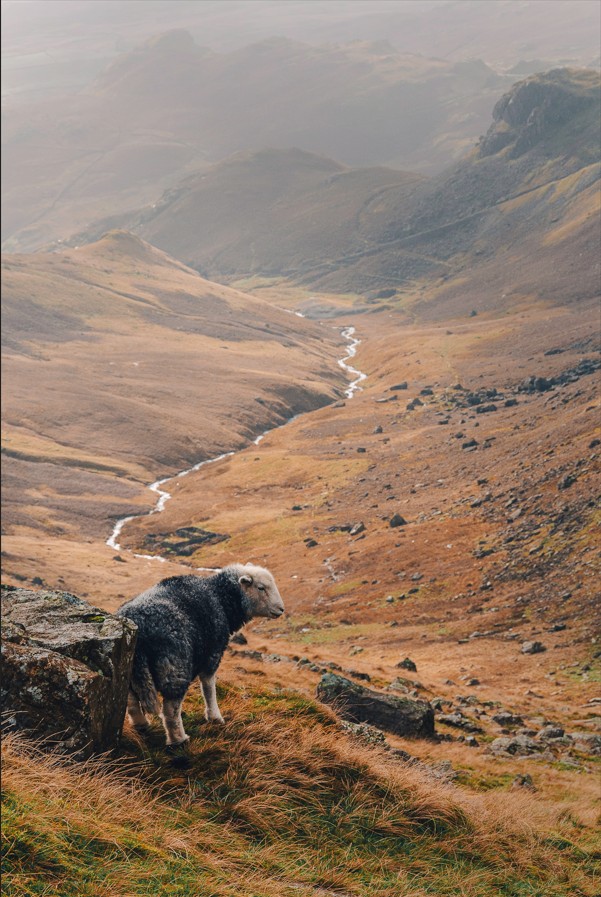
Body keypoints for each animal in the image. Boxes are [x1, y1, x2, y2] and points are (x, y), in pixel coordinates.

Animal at [116, 563, 284, 746]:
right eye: (261, 588)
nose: (281, 609)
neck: (221, 597)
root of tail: (138, 623)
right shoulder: (213, 653)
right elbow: (209, 687)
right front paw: (215, 717)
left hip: (130, 666)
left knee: (131, 700)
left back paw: (141, 724)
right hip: (175, 666)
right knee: (170, 709)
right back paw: (178, 740)